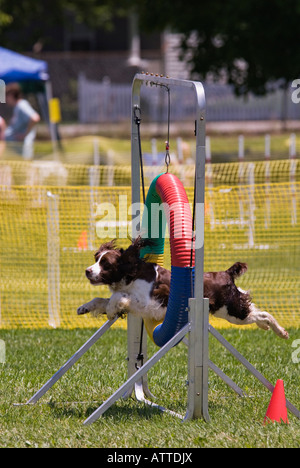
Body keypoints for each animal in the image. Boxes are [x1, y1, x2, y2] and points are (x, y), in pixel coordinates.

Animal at [77, 239, 288, 338]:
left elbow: (117, 297)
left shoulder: (146, 301)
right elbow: (100, 300)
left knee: (262, 314)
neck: (131, 273)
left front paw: (112, 310)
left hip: (232, 312)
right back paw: (267, 327)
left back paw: (281, 332)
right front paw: (84, 308)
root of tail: (227, 273)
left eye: (105, 264)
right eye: (96, 258)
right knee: (257, 312)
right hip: (232, 310)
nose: (87, 271)